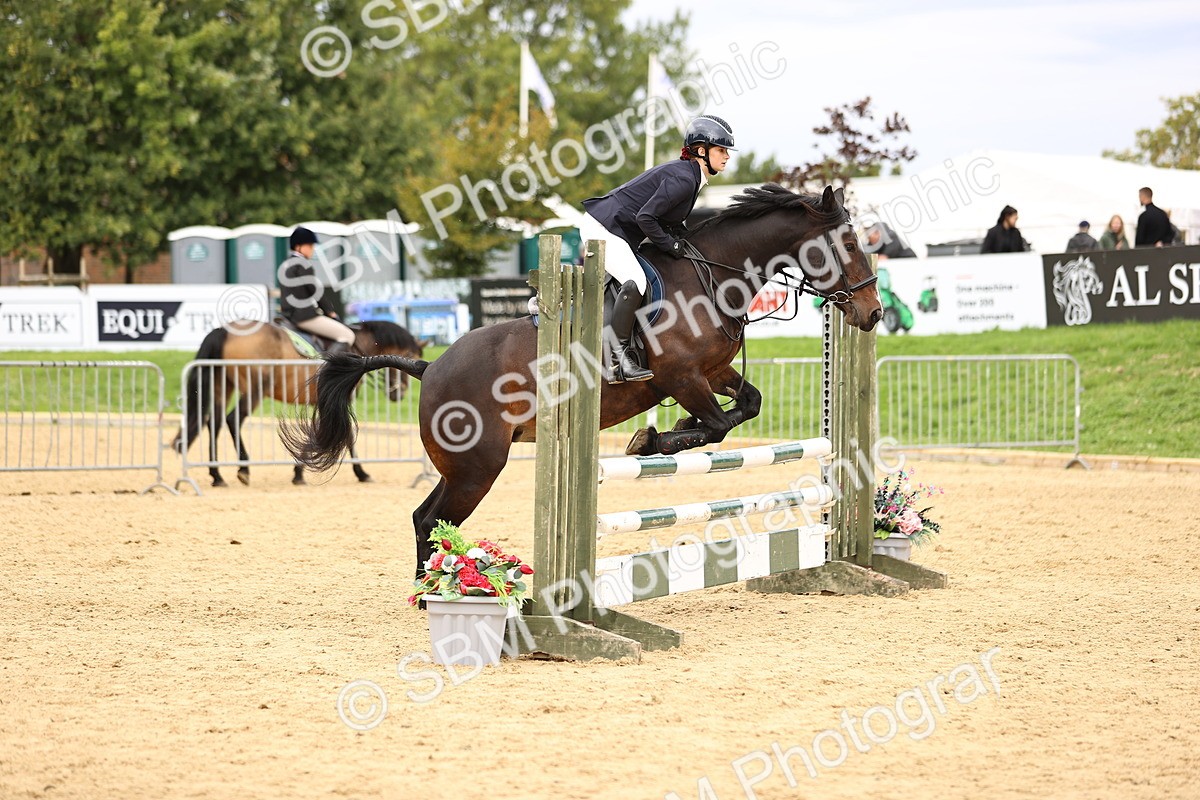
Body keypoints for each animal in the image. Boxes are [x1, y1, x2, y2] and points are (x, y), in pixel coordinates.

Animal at [174, 319, 424, 487]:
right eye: (411, 356)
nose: (399, 394)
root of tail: (226, 330)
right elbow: (348, 435)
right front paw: (361, 473)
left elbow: (317, 434)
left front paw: (300, 471)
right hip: (255, 389)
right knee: (232, 419)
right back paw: (243, 470)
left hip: (222, 386)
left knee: (214, 423)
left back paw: (217, 475)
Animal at [283, 184, 882, 572]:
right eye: (850, 245)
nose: (873, 313)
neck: (714, 276)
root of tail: (429, 369)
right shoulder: (680, 375)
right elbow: (714, 425)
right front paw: (651, 439)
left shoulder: (712, 371)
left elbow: (747, 404)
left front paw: (664, 434)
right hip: (478, 467)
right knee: (433, 519)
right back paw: (431, 593)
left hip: (465, 466)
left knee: (424, 519)